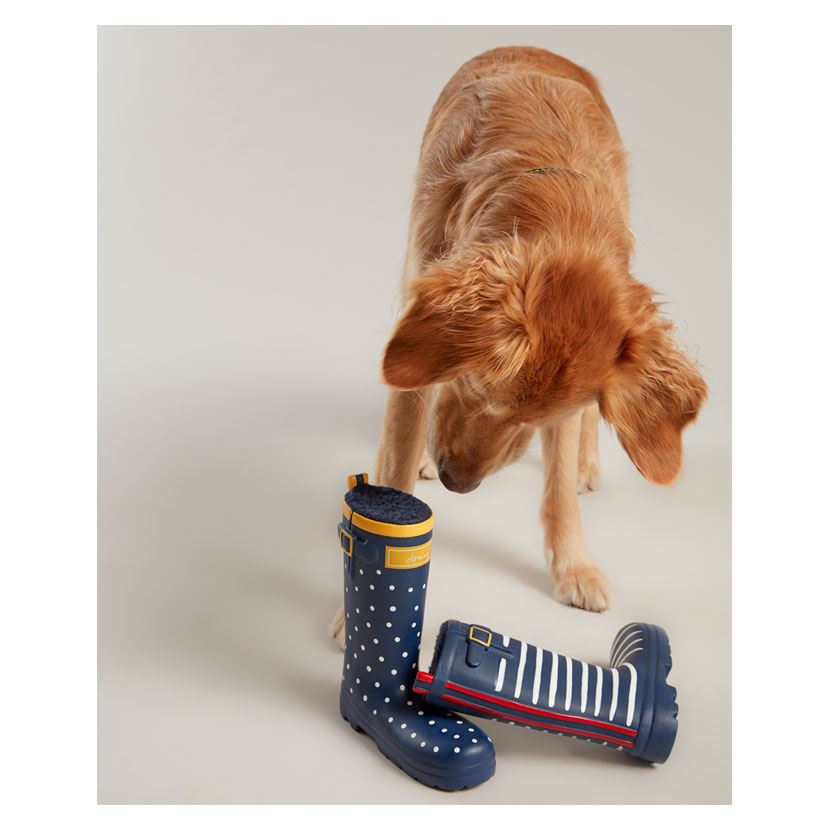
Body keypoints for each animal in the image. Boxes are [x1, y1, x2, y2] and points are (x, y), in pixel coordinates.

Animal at [331, 46, 706, 647]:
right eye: (472, 383)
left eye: (534, 418)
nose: (458, 484)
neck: (556, 202)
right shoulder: (418, 336)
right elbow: (399, 454)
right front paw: (356, 608)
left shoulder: (570, 408)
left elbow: (558, 486)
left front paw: (573, 564)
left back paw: (586, 464)